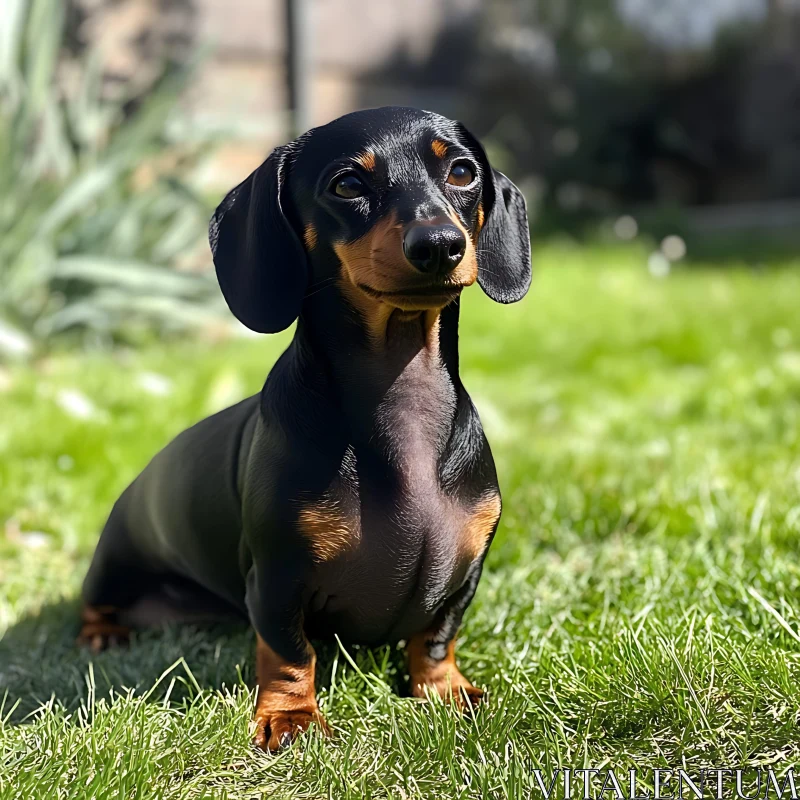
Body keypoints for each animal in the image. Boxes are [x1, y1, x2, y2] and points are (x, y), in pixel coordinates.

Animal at [79, 106, 532, 752]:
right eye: (347, 183)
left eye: (463, 172)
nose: (440, 245)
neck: (400, 397)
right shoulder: (277, 575)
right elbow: (290, 651)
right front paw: (291, 716)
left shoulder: (465, 572)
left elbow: (436, 636)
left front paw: (444, 690)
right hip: (113, 562)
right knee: (94, 604)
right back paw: (100, 634)